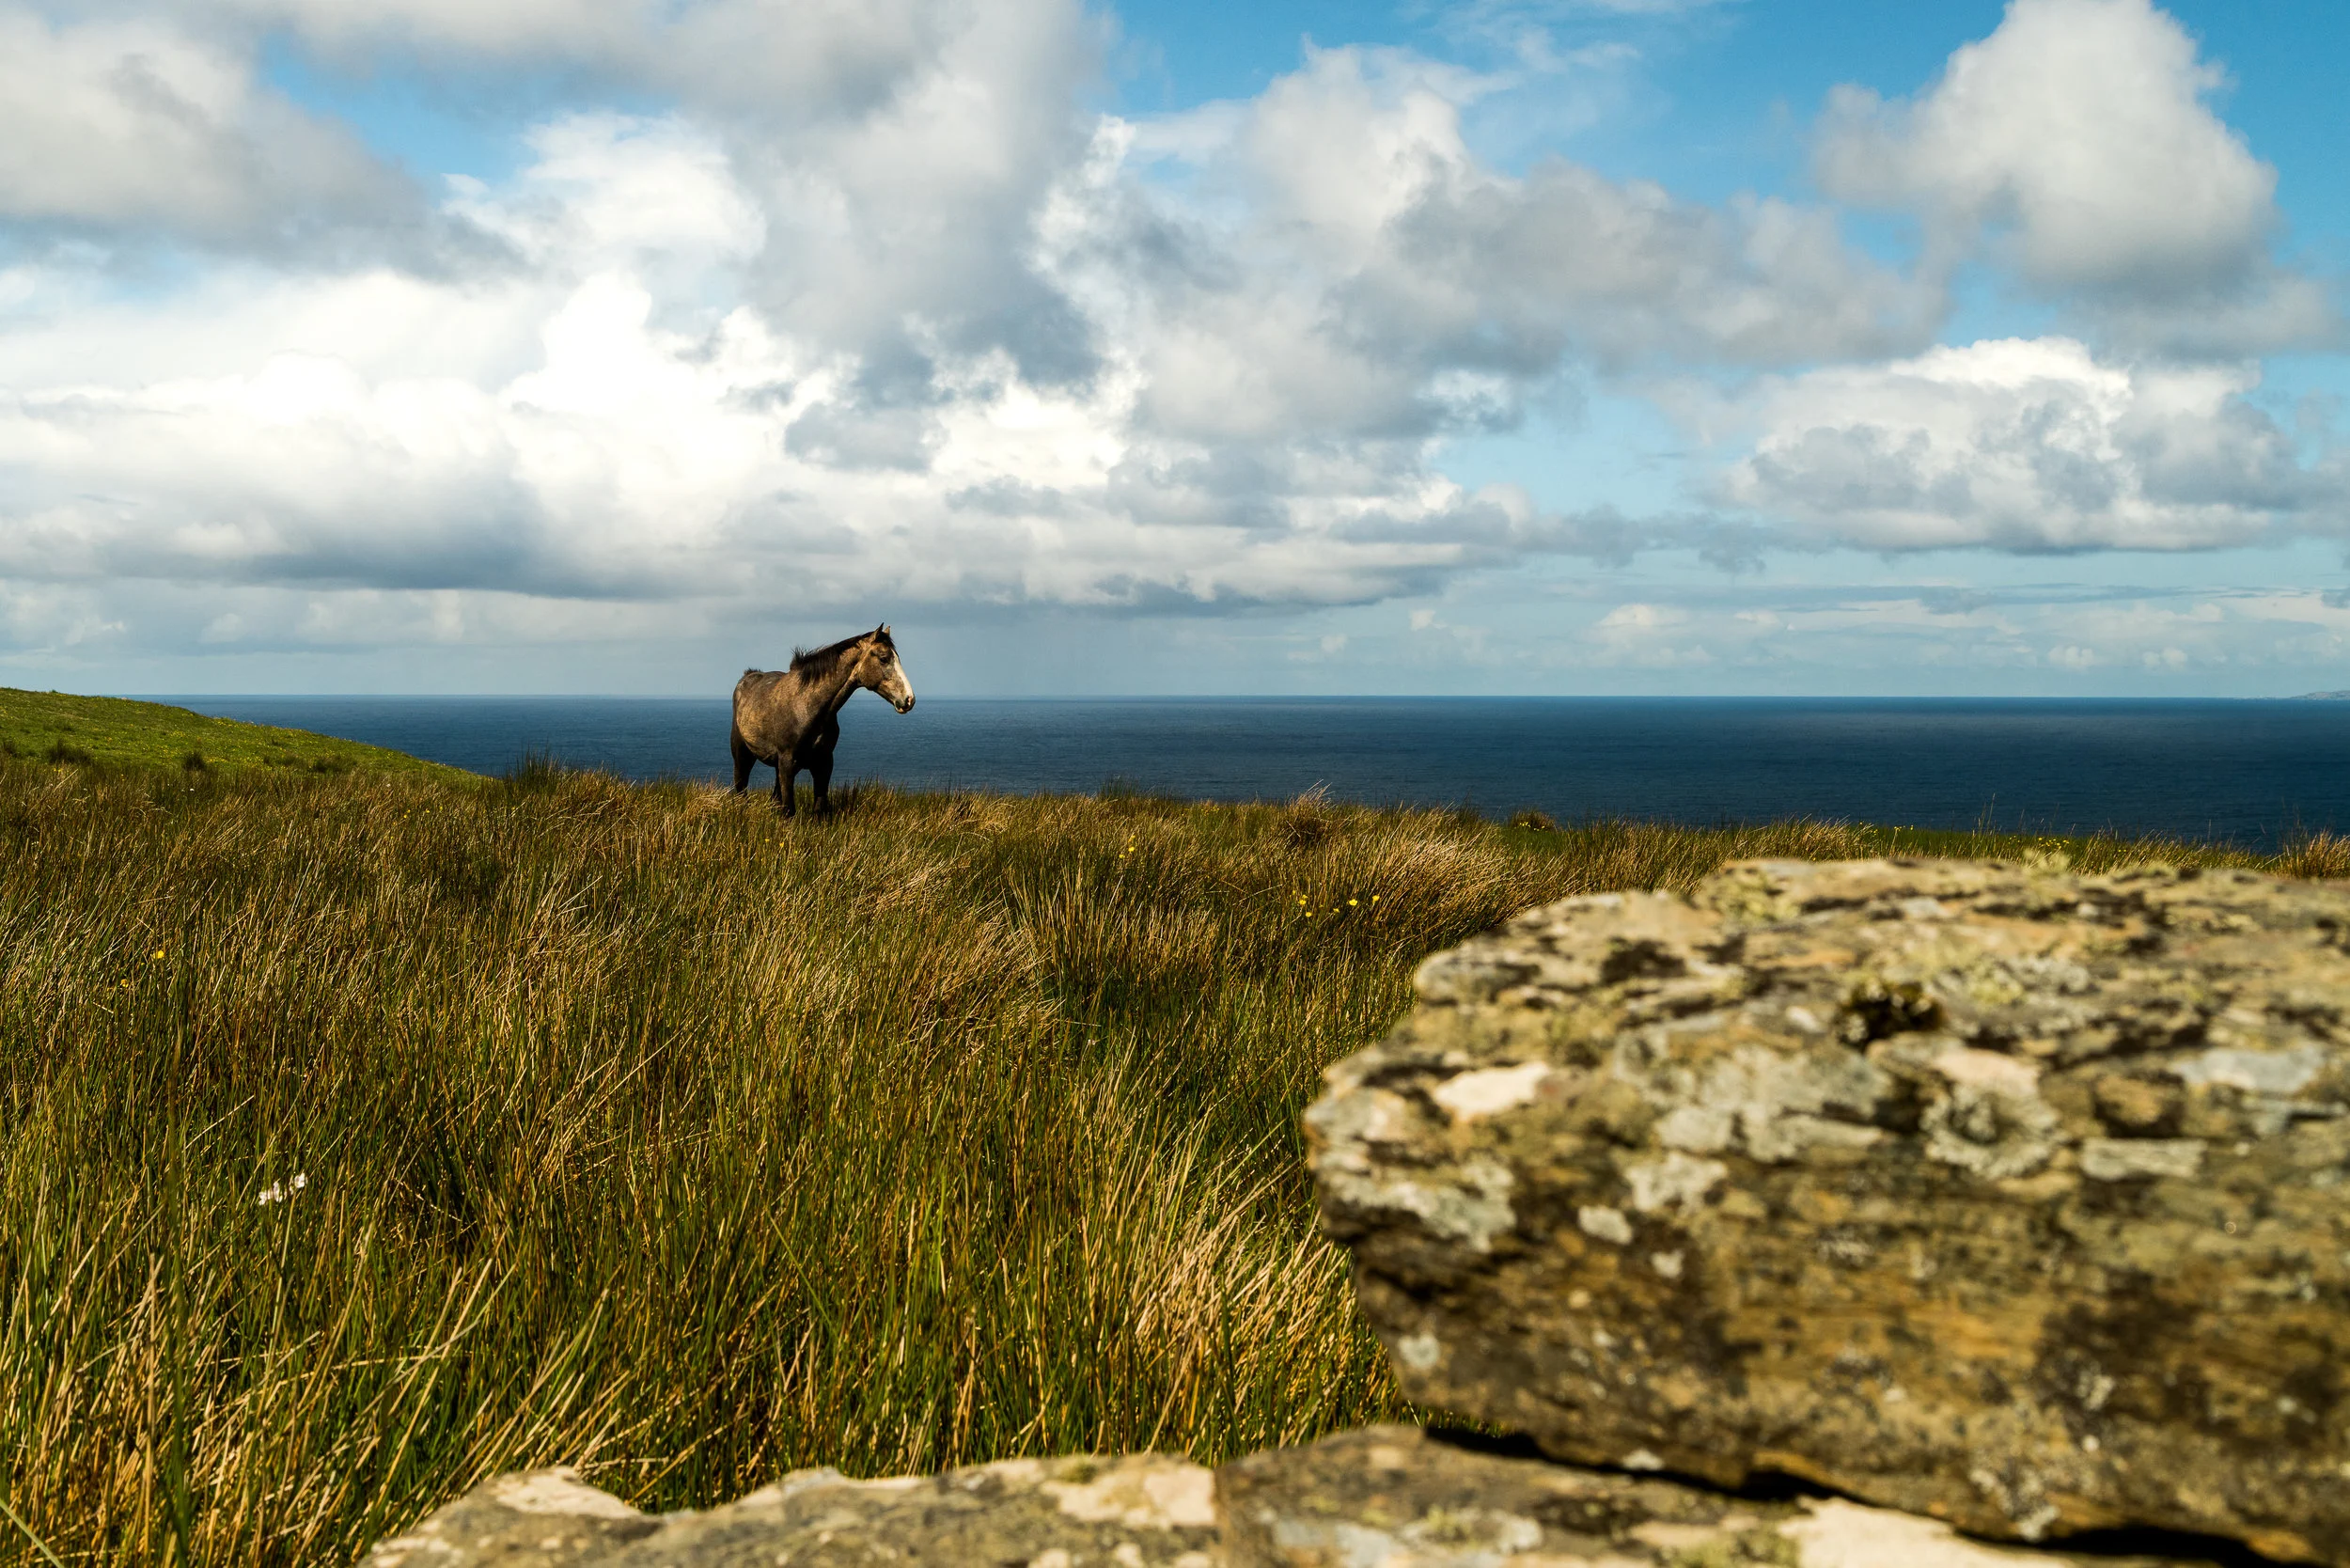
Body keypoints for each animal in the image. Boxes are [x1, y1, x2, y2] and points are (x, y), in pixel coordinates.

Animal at [730, 624, 916, 816]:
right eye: (883, 659)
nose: (909, 699)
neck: (807, 707)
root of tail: (747, 677)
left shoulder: (824, 763)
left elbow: (819, 808)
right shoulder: (787, 764)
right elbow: (789, 810)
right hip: (742, 754)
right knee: (741, 787)